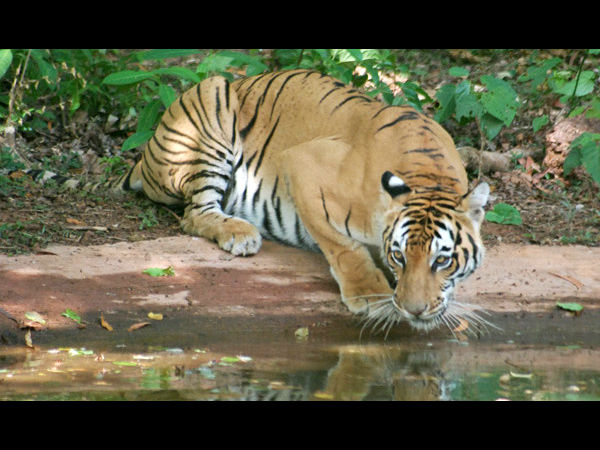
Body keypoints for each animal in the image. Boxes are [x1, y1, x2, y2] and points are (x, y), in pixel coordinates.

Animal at [113, 68, 492, 332]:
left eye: (442, 261)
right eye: (399, 256)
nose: (414, 310)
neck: (429, 177)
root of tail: (145, 155)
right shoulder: (302, 166)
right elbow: (343, 247)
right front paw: (368, 295)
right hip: (211, 99)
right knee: (194, 213)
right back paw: (241, 234)